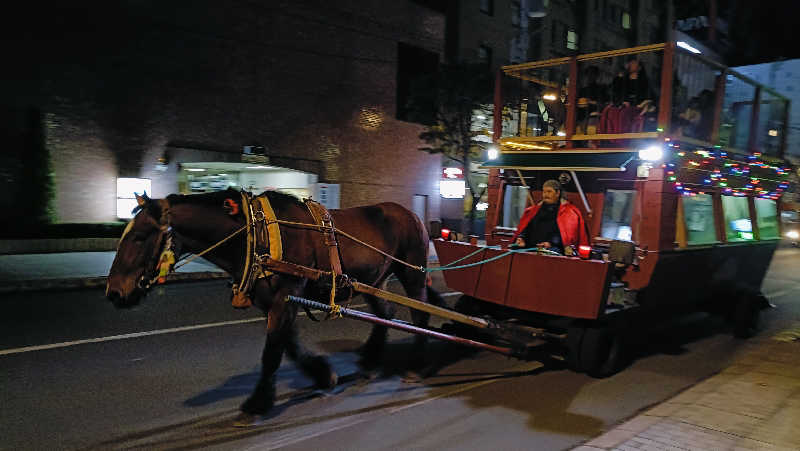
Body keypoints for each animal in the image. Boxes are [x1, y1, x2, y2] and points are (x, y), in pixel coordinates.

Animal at [104, 186, 444, 424]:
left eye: (139, 236)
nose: (114, 292)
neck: (254, 235)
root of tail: (413, 214)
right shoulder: (278, 302)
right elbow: (288, 347)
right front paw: (323, 374)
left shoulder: (285, 297)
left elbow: (271, 354)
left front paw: (256, 403)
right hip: (373, 280)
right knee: (385, 314)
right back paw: (371, 361)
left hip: (411, 273)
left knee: (420, 316)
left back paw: (416, 365)